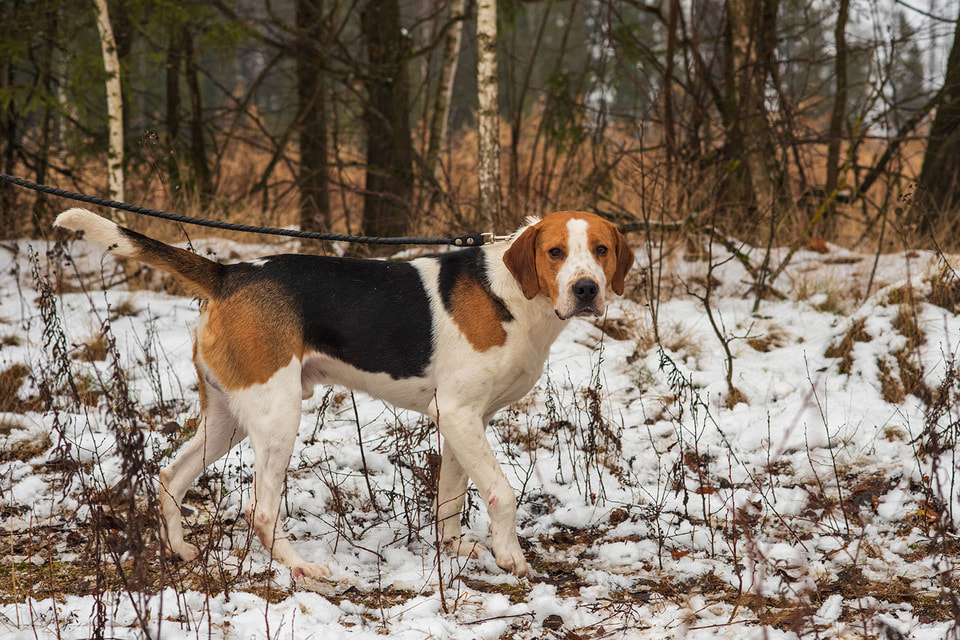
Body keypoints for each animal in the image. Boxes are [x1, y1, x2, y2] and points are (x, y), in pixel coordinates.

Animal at [56, 209, 632, 580]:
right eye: (555, 253)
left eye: (601, 250)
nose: (586, 289)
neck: (514, 295)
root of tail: (229, 273)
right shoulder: (459, 415)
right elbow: (502, 493)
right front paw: (511, 558)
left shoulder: (465, 422)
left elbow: (450, 498)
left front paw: (454, 549)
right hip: (278, 416)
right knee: (260, 511)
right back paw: (305, 569)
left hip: (227, 419)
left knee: (169, 478)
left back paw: (178, 549)